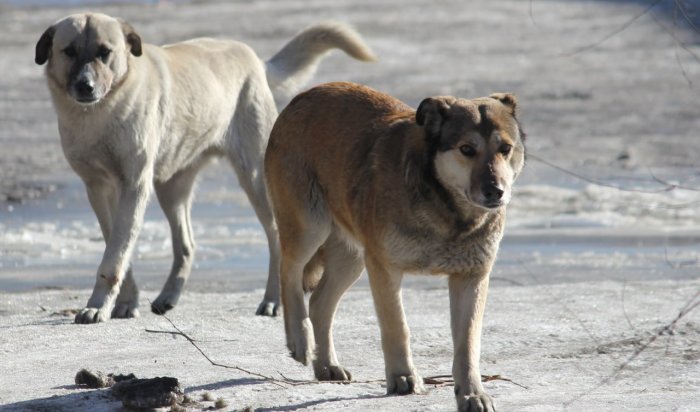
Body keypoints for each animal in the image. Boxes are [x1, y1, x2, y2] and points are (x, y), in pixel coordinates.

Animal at [35, 12, 374, 322]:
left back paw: (272, 301)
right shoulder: (98, 189)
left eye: (105, 52)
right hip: (171, 187)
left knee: (277, 239)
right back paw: (168, 297)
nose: (86, 86)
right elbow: (117, 250)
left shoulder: (133, 186)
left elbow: (115, 255)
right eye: (69, 51)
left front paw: (98, 306)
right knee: (187, 244)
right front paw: (125, 303)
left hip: (256, 180)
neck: (100, 115)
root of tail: (252, 58)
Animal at [264, 82, 524, 410]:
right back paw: (299, 340)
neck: (448, 213)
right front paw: (404, 379)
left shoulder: (471, 276)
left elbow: (467, 343)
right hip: (310, 227)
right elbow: (397, 326)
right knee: (289, 272)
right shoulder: (384, 268)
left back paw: (327, 366)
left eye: (505, 149)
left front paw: (472, 394)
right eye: (467, 149)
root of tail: (302, 96)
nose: (496, 191)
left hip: (352, 257)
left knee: (320, 303)